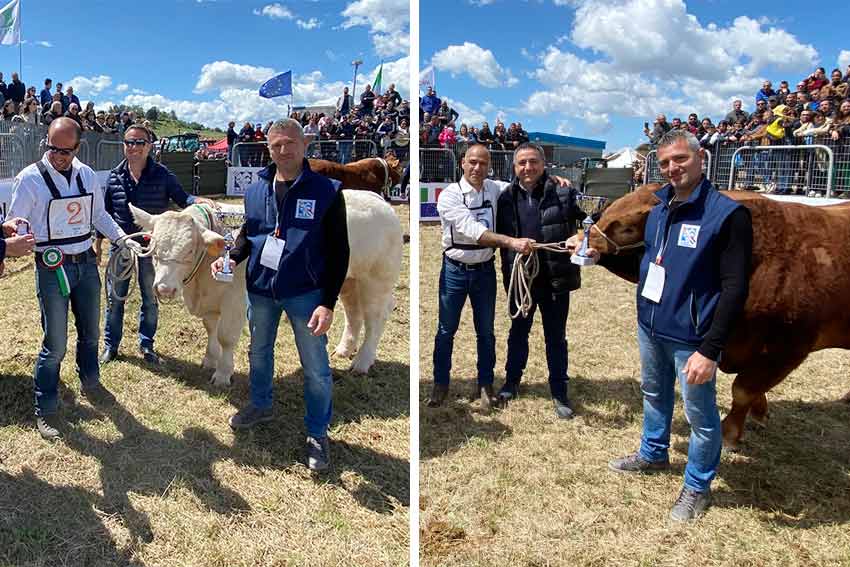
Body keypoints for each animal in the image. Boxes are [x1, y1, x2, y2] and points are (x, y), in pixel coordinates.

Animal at [128, 191, 400, 386]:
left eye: (189, 250)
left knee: (375, 319)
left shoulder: (234, 300)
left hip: (376, 281)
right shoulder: (211, 302)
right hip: (348, 281)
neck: (200, 283)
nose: (164, 289)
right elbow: (211, 329)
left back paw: (362, 361)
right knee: (354, 314)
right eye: (154, 248)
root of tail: (377, 199)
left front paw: (223, 374)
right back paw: (344, 350)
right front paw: (209, 359)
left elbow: (226, 336)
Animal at [588, 184, 848, 450]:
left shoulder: (789, 349)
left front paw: (729, 434)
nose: (580, 240)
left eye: (627, 228)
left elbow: (742, 390)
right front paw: (759, 412)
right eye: (608, 210)